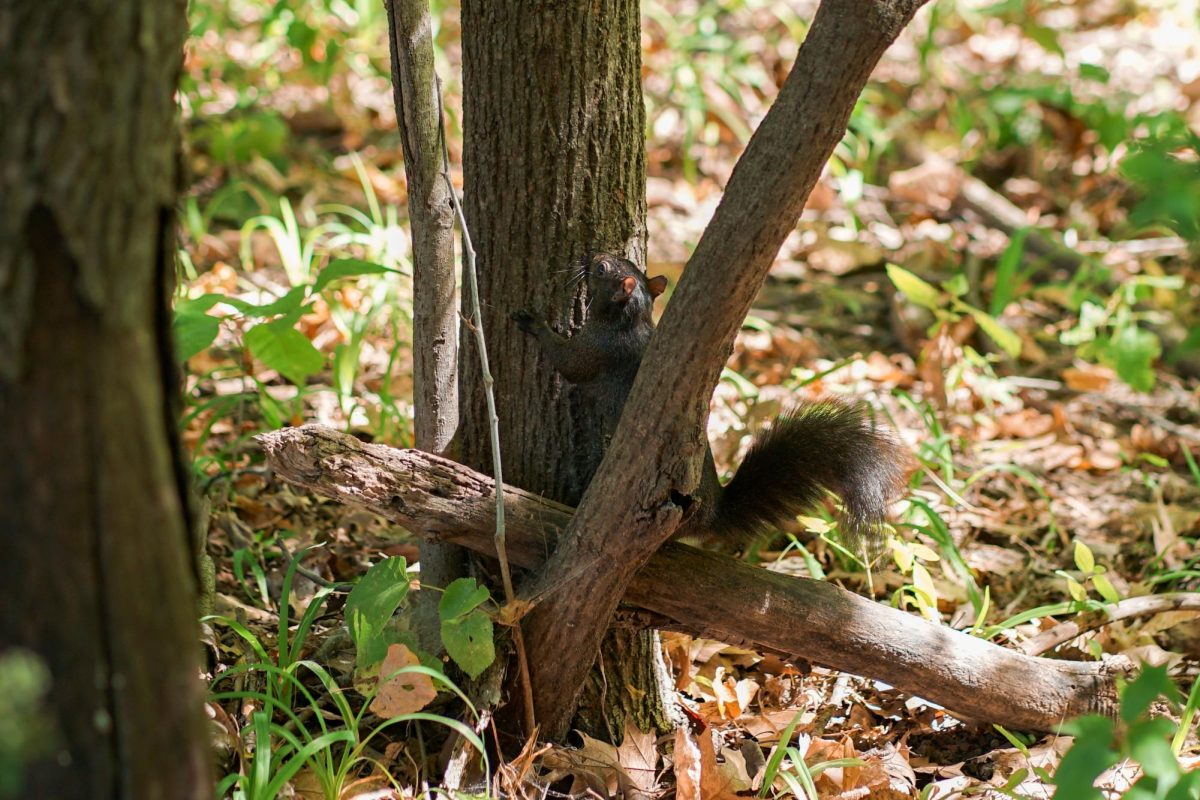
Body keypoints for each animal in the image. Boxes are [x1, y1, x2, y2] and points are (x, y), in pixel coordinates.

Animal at [511, 253, 902, 554]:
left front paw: (534, 323)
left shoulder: (595, 351)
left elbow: (567, 363)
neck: (629, 320)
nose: (592, 255)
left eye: (603, 269)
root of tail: (711, 515)